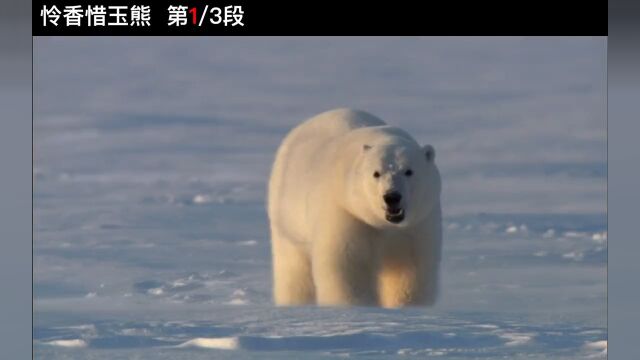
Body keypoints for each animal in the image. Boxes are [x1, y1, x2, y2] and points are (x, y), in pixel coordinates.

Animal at [264, 108, 440, 308]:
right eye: (376, 173)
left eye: (409, 171)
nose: (392, 197)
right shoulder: (346, 212)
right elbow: (348, 264)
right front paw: (356, 305)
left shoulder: (418, 223)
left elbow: (410, 268)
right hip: (288, 219)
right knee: (294, 271)